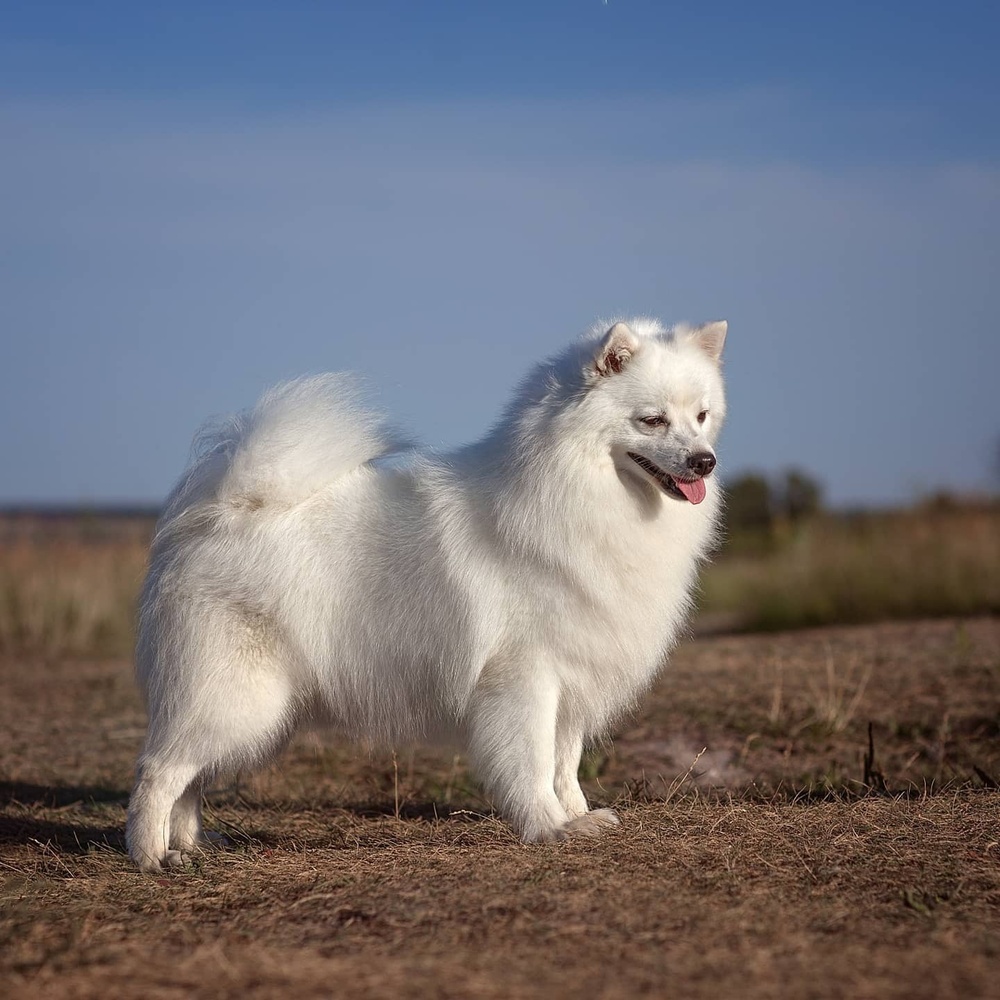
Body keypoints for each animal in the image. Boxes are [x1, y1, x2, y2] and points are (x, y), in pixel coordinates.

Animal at [129, 318, 732, 868]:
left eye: (701, 417)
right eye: (652, 420)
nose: (705, 461)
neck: (578, 493)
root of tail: (227, 507)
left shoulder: (572, 677)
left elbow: (565, 764)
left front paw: (578, 818)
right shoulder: (526, 679)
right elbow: (534, 763)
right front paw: (547, 828)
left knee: (191, 779)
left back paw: (191, 846)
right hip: (237, 698)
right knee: (159, 770)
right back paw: (150, 856)